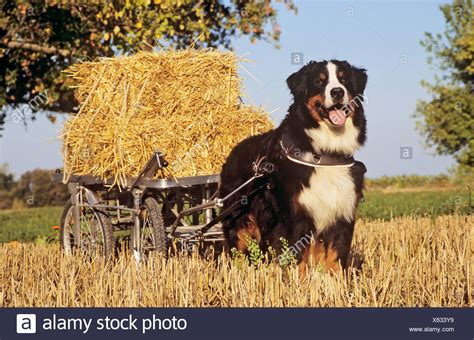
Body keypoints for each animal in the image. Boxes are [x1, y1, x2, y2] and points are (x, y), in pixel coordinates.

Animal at [220, 59, 368, 272]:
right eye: (319, 81)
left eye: (344, 79)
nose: (337, 92)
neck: (324, 154)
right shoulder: (293, 218)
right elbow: (297, 262)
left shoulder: (341, 215)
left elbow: (335, 260)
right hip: (239, 222)